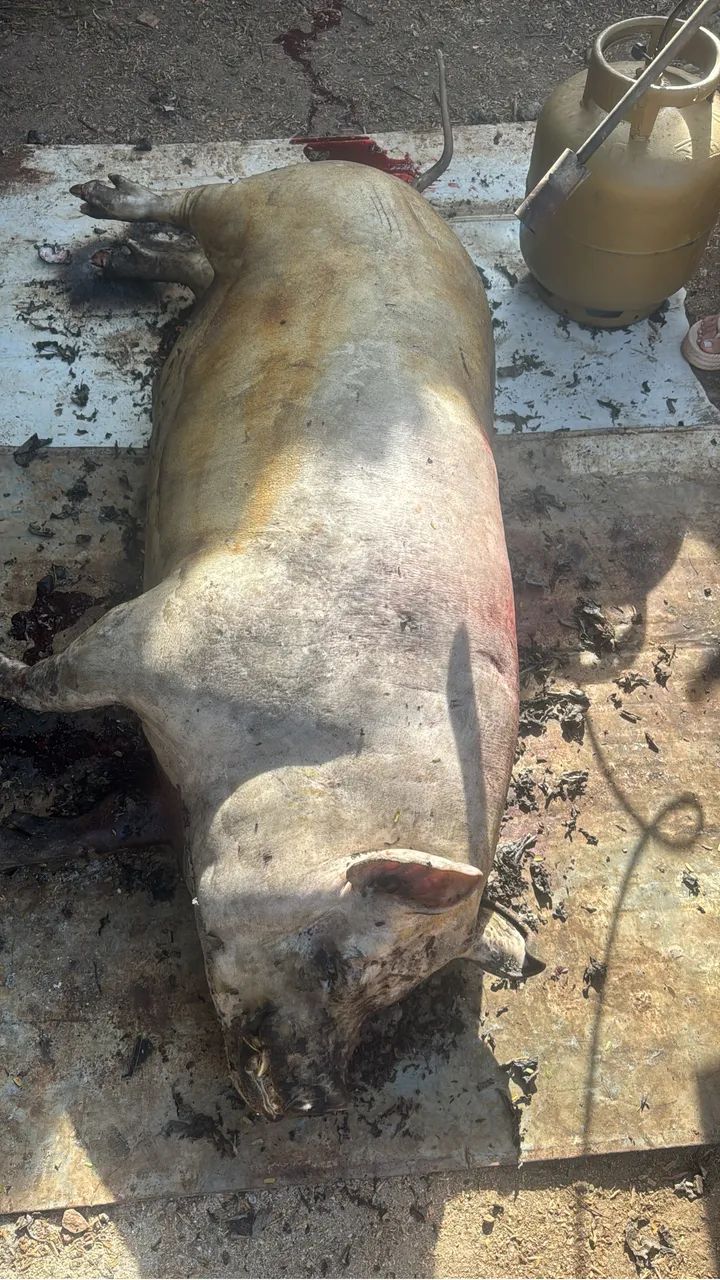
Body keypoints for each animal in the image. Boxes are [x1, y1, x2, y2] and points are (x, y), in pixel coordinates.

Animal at [0, 155, 543, 1119]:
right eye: (335, 963)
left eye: (395, 996)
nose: (312, 1100)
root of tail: (407, 191)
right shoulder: (167, 630)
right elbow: (56, 678)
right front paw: (3, 669)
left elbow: (94, 823)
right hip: (275, 196)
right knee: (192, 204)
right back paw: (100, 205)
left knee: (192, 266)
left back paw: (120, 261)